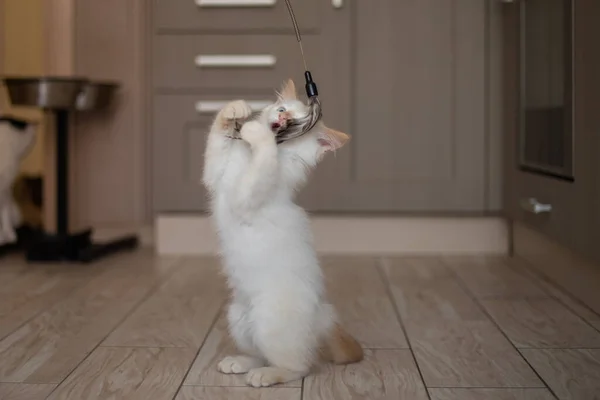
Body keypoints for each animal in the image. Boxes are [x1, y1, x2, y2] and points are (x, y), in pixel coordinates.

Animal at [0, 117, 36, 245]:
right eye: (22, 125)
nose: (35, 126)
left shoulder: (6, 190)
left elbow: (5, 215)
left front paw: (9, 235)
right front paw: (2, 238)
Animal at [202, 79, 360, 388]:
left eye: (298, 121)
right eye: (283, 109)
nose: (283, 119)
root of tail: (321, 316)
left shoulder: (247, 196)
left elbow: (265, 159)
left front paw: (257, 133)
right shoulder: (216, 176)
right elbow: (216, 138)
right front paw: (235, 109)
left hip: (270, 323)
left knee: (298, 365)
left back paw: (265, 375)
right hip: (239, 318)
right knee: (261, 354)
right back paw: (239, 362)